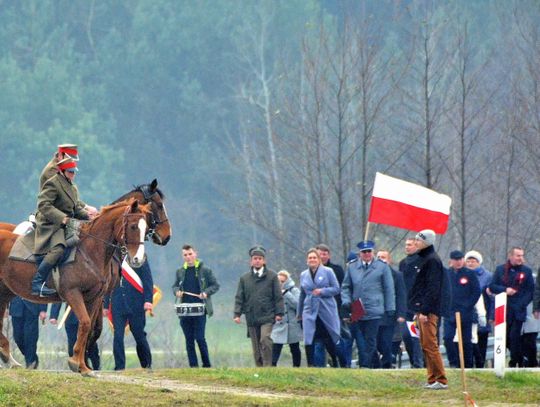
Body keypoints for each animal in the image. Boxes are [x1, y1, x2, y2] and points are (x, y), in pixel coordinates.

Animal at [0, 198, 150, 376]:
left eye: (146, 228)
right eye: (133, 226)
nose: (138, 259)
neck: (90, 252)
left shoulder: (94, 298)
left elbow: (87, 327)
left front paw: (82, 366)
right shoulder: (73, 294)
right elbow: (84, 323)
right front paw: (76, 363)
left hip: (5, 292)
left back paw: (9, 359)